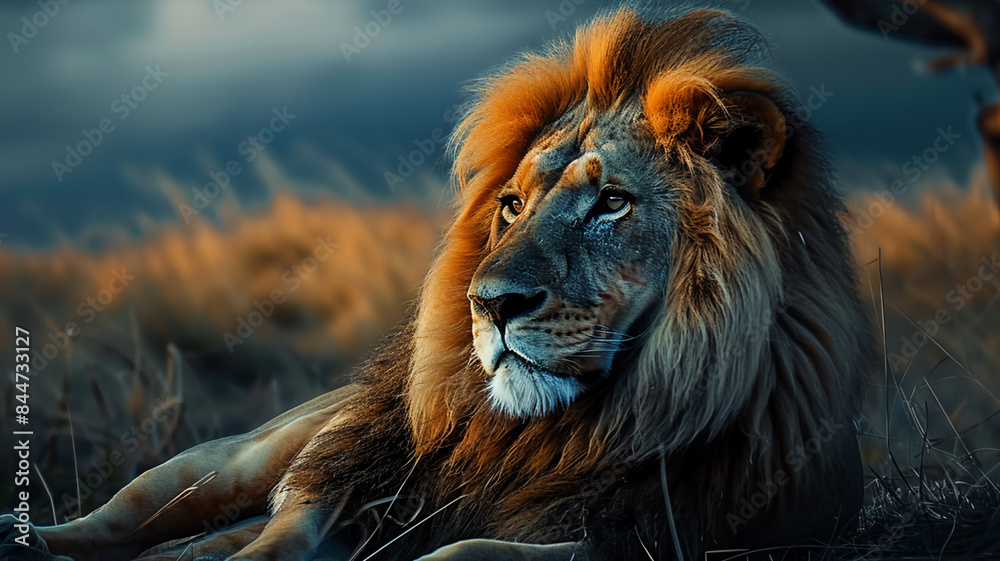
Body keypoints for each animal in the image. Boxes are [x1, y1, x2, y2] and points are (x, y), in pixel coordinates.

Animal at [3, 7, 874, 561]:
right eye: (513, 204)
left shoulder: (646, 533)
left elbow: (469, 551)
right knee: (128, 514)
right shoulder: (361, 477)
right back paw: (38, 542)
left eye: (612, 203)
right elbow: (286, 531)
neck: (551, 432)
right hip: (239, 455)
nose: (489, 305)